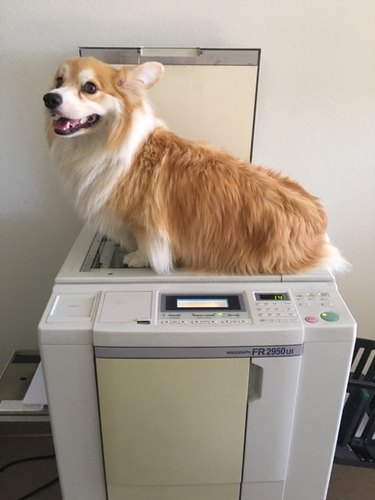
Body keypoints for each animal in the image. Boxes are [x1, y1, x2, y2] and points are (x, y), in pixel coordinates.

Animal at [42, 57, 346, 276]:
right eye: (58, 80)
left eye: (90, 87)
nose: (49, 98)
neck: (106, 143)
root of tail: (320, 225)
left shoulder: (145, 222)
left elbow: (147, 246)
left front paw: (136, 258)